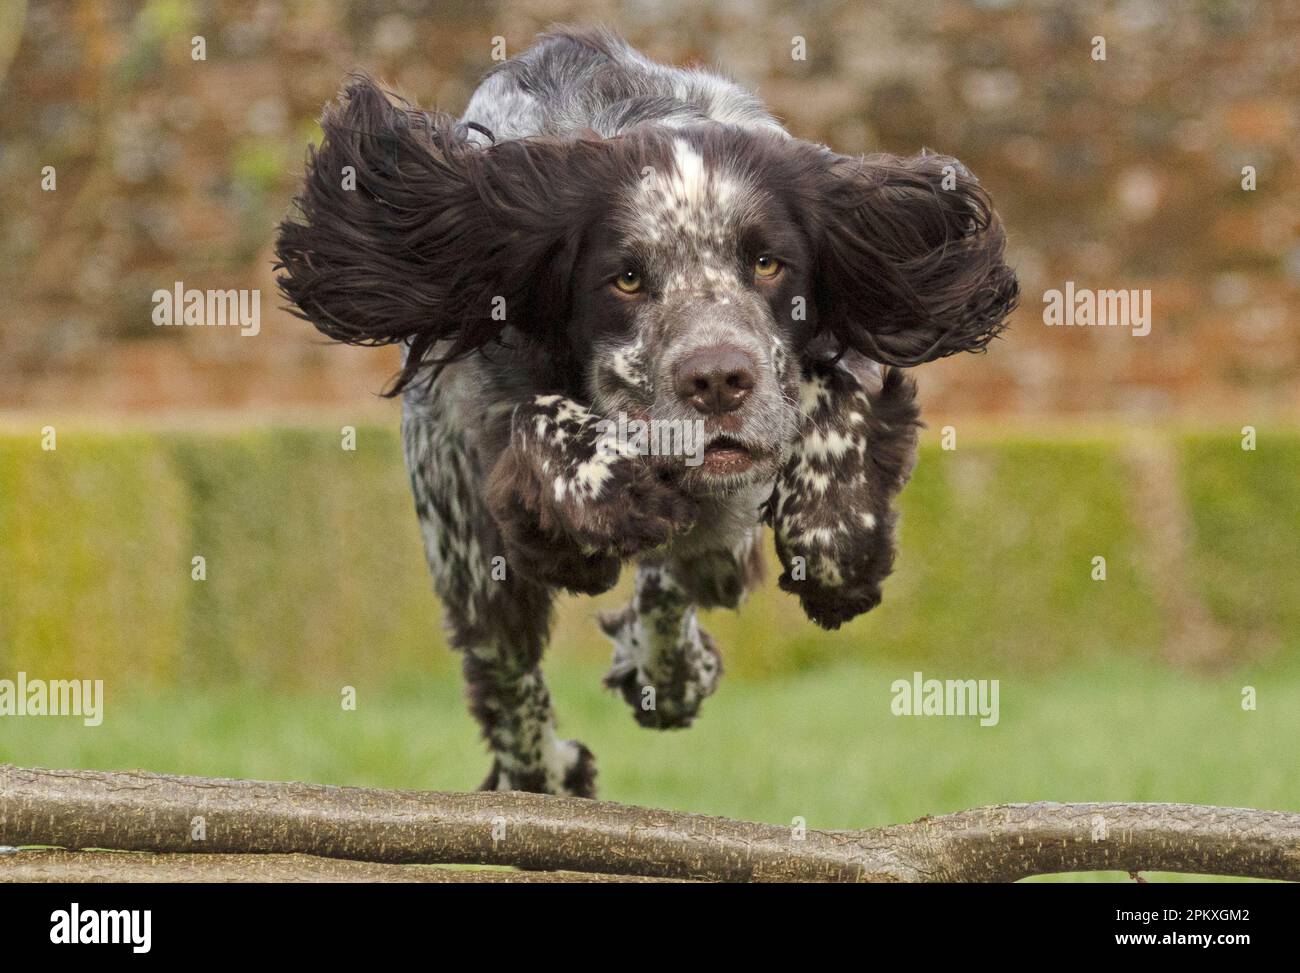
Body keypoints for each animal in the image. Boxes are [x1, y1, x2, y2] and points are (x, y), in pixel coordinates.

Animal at [276, 26, 1013, 796]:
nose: (718, 379)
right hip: (462, 540)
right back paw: (549, 767)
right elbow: (545, 432)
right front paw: (604, 482)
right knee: (504, 668)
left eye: (769, 264)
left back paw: (673, 666)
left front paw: (833, 535)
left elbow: (836, 411)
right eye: (626, 278)